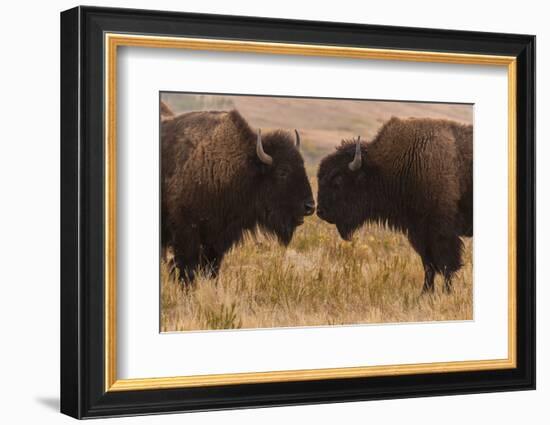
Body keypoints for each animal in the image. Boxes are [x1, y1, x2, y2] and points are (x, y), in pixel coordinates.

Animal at [161, 108, 314, 282]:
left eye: (302, 166)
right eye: (283, 171)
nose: (310, 206)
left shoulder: (216, 239)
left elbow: (211, 267)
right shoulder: (187, 233)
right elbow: (187, 267)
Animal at [320, 117, 474, 294]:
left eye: (337, 182)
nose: (320, 211)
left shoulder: (441, 233)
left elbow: (446, 265)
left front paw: (447, 293)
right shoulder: (419, 233)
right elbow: (429, 265)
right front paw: (424, 293)